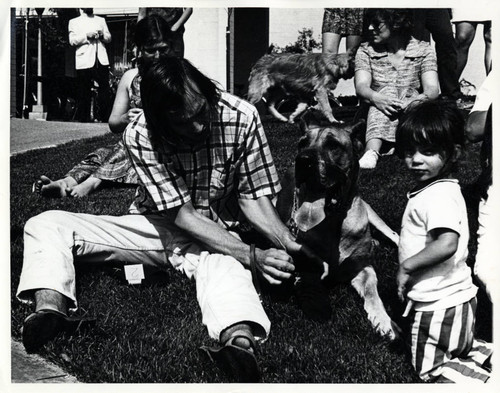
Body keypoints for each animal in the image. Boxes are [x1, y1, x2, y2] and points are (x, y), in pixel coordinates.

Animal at [276, 112, 400, 338]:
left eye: (333, 145)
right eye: (302, 143)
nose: (302, 160)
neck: (333, 220)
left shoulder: (363, 267)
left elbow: (373, 292)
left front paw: (384, 320)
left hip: (371, 213)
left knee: (395, 235)